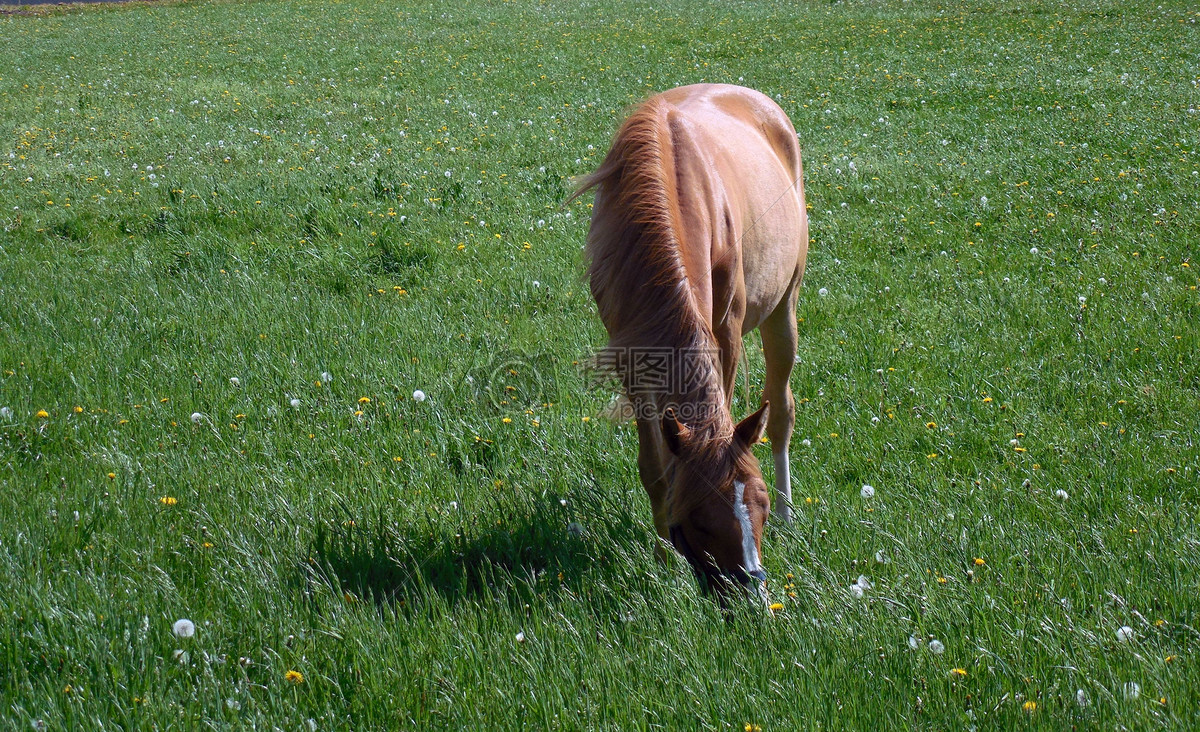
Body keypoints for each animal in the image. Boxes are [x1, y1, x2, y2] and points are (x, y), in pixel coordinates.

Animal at [576, 85, 811, 595]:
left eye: (759, 506)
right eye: (700, 519)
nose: (751, 591)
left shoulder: (724, 336)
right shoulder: (634, 353)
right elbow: (655, 468)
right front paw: (664, 560)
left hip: (784, 307)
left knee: (782, 410)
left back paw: (792, 514)